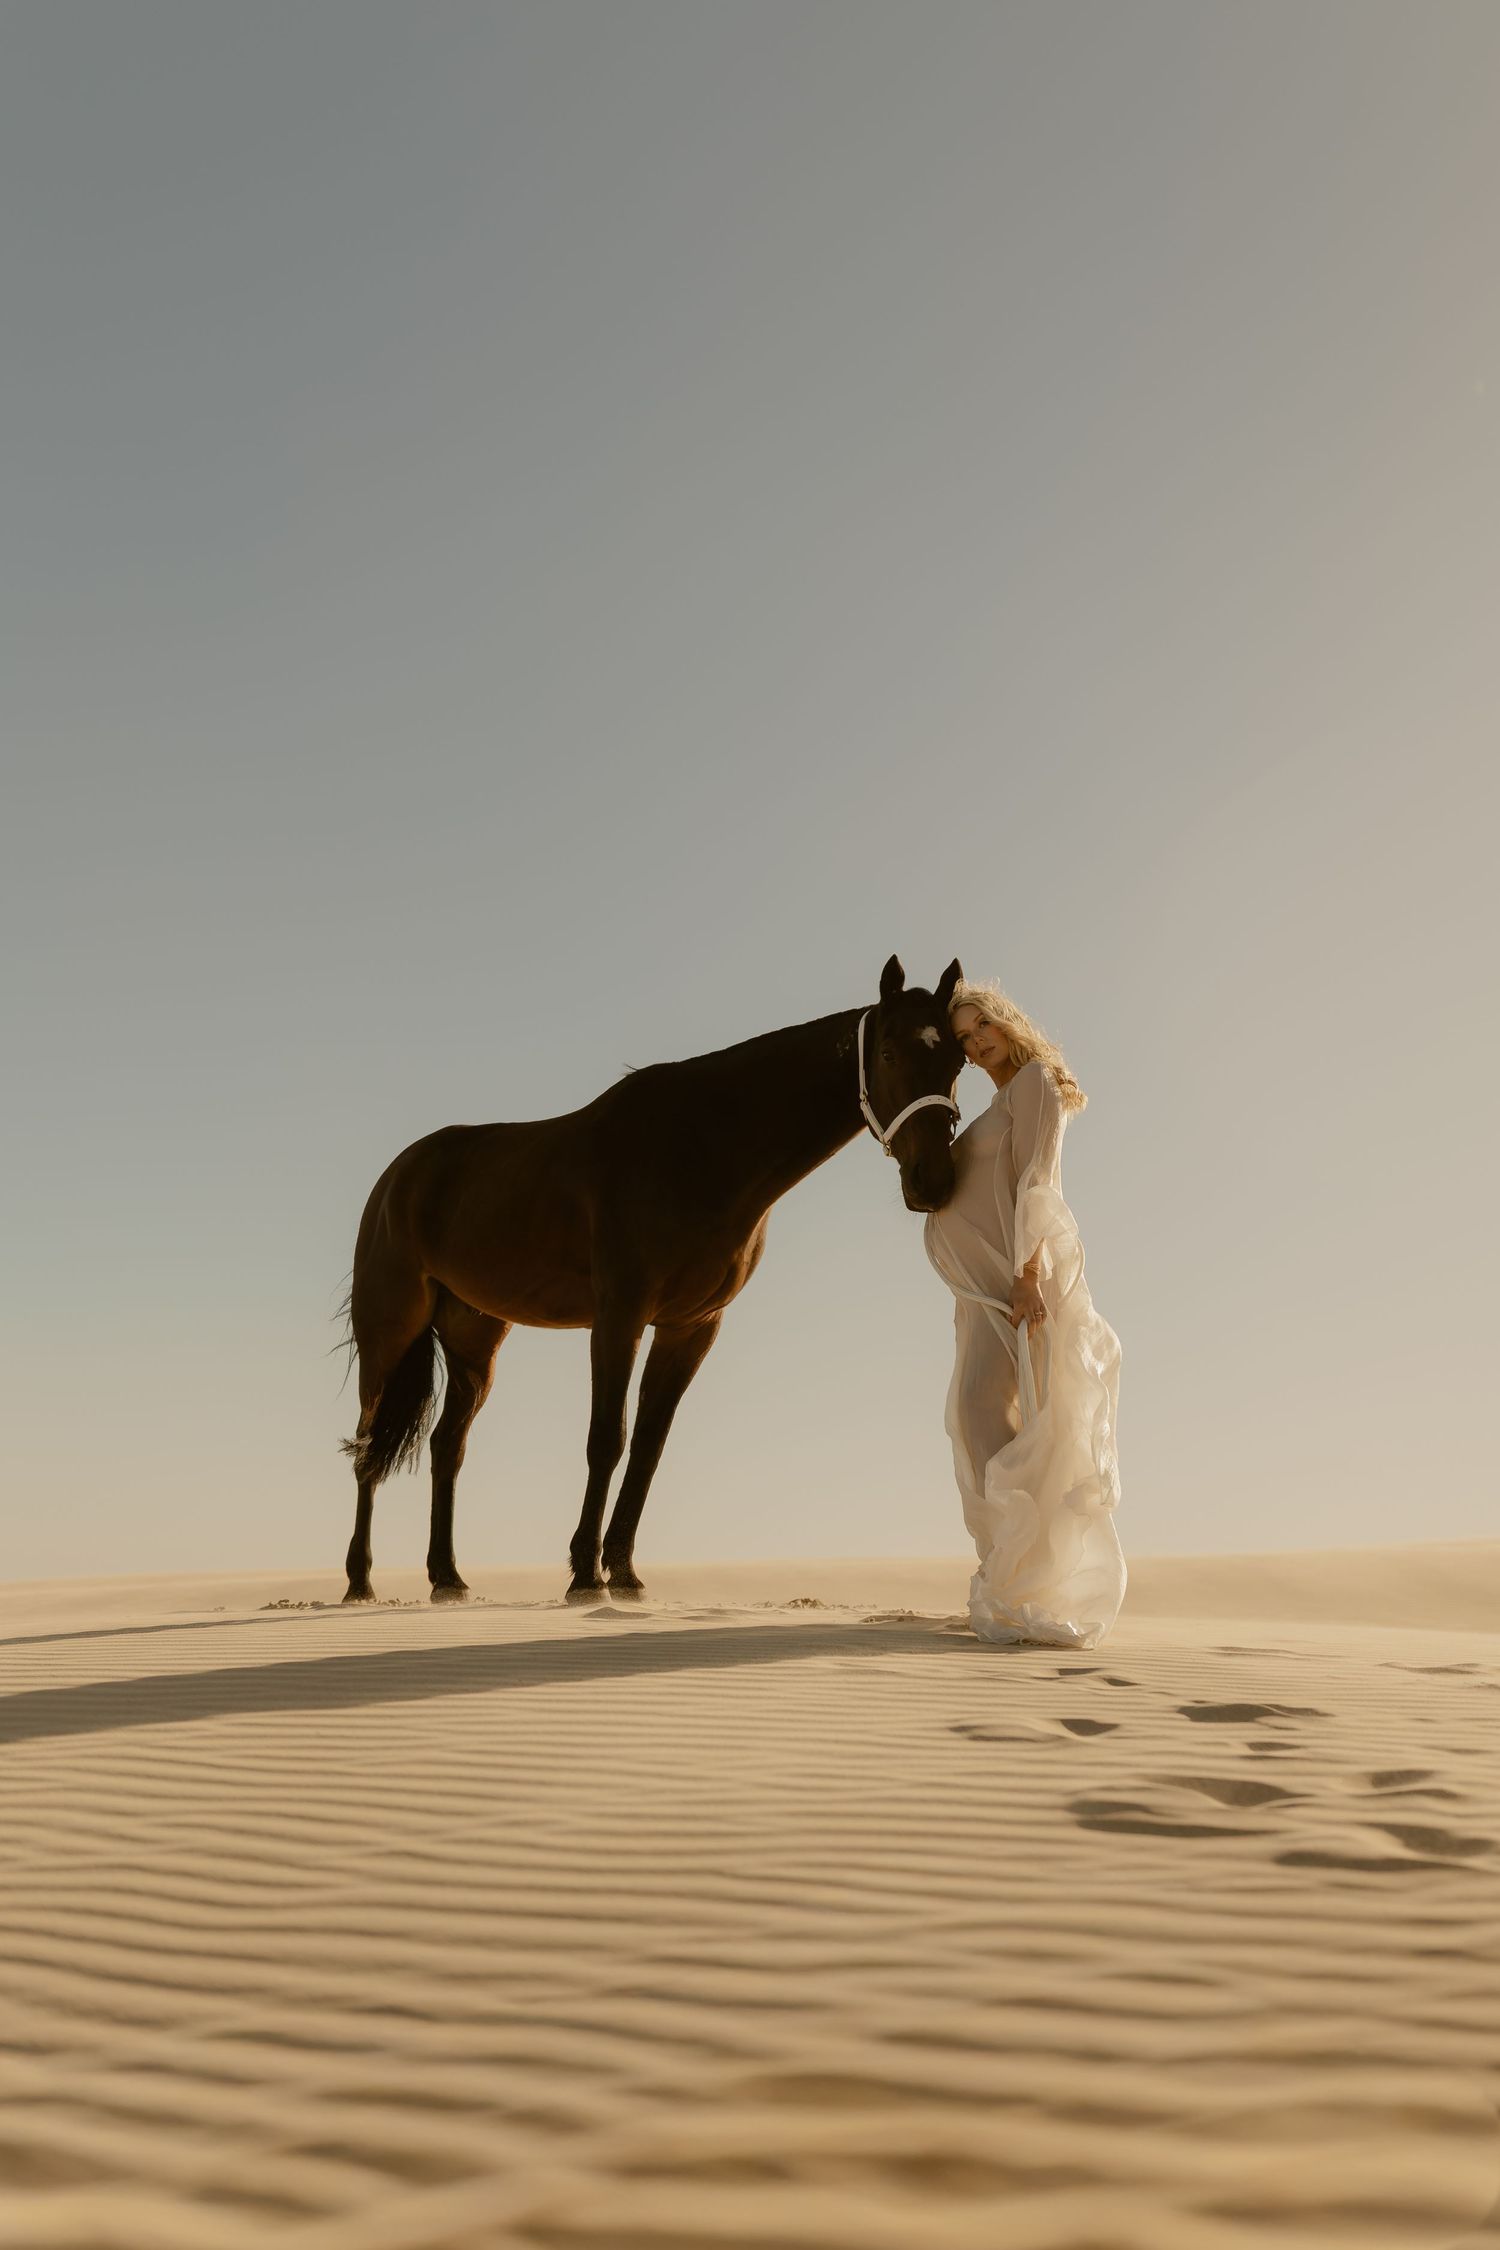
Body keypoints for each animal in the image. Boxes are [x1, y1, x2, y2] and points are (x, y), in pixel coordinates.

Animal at [339, 954, 964, 1604]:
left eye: (958, 1060)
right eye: (888, 1053)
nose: (934, 1181)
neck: (701, 1148)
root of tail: (397, 1176)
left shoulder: (690, 1327)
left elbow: (648, 1447)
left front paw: (623, 1572)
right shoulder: (619, 1319)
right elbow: (606, 1440)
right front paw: (585, 1576)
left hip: (474, 1338)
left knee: (447, 1447)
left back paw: (448, 1577)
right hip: (389, 1335)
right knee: (366, 1445)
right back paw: (360, 1581)